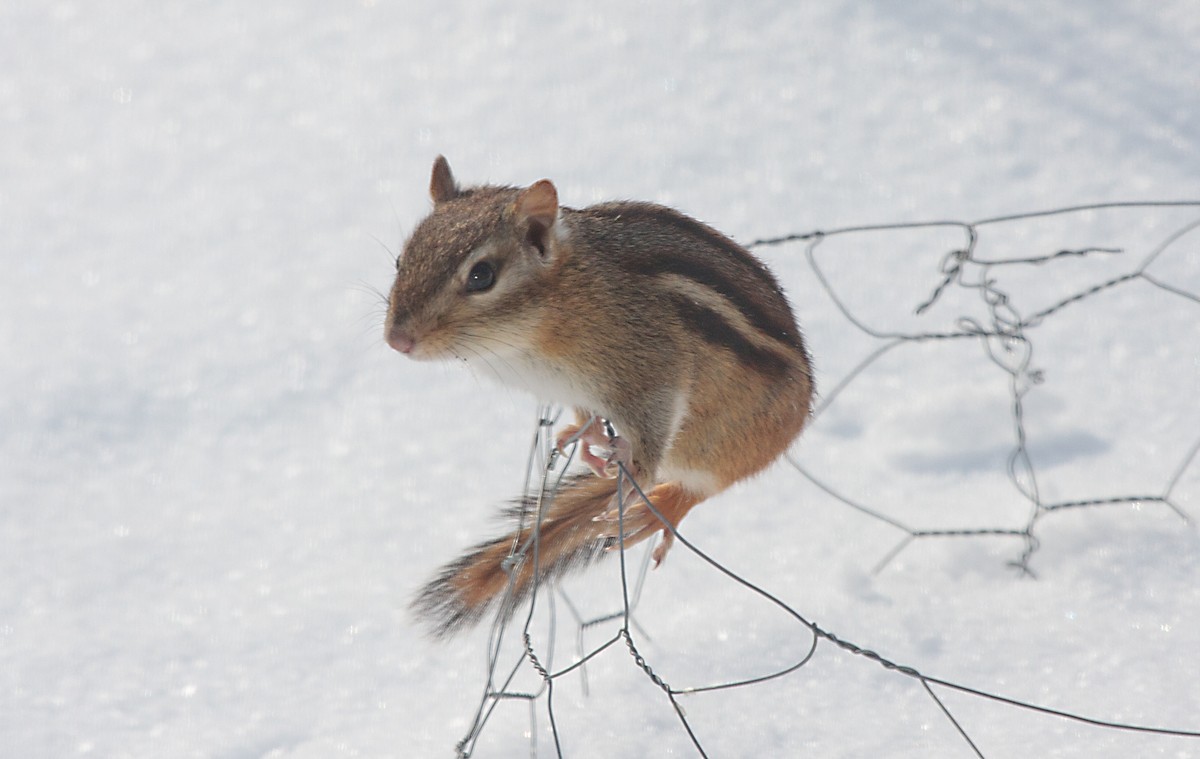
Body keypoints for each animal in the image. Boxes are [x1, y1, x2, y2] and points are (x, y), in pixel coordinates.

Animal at [386, 156, 814, 637]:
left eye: (481, 276)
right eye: (402, 259)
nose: (397, 340)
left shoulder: (653, 371)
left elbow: (651, 435)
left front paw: (632, 472)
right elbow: (584, 414)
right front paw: (581, 435)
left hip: (722, 443)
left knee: (701, 487)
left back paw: (657, 508)